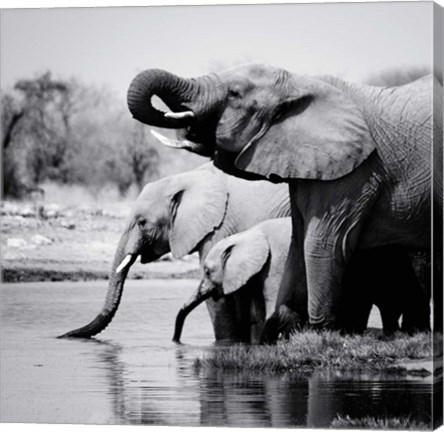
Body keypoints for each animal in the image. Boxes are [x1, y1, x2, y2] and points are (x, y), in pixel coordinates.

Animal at [57, 163, 290, 340]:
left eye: (142, 222)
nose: (61, 335)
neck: (186, 178)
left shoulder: (220, 228)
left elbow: (221, 296)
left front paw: (227, 345)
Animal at [174, 219, 430, 344]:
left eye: (208, 272)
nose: (175, 341)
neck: (249, 234)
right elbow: (258, 312)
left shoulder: (276, 264)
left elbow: (273, 309)